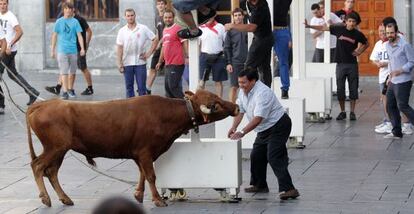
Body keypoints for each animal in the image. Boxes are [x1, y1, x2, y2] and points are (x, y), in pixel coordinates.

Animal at [25, 90, 238, 207]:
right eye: (216, 104)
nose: (236, 107)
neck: (166, 114)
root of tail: (43, 104)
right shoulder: (145, 151)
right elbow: (151, 175)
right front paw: (158, 200)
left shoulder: (140, 153)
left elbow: (143, 174)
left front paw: (138, 194)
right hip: (55, 148)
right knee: (38, 166)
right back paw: (45, 198)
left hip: (60, 150)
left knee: (52, 172)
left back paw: (65, 198)